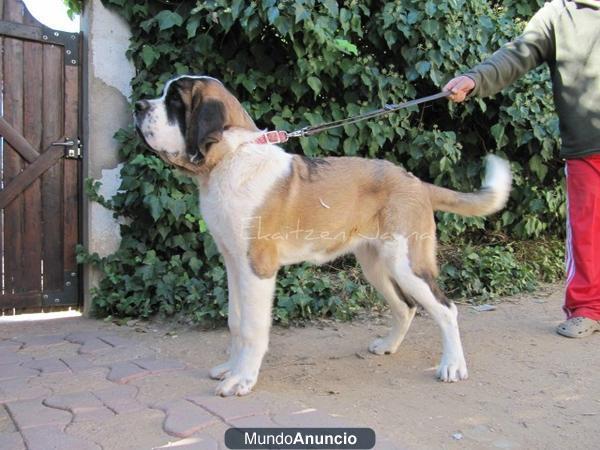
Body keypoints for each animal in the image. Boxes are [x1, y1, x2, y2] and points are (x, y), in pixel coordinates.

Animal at [135, 75, 510, 396]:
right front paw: (231, 368)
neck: (230, 158)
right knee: (405, 307)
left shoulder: (257, 267)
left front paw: (242, 379)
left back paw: (453, 366)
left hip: (406, 263)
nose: (138, 105)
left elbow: (253, 327)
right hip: (375, 265)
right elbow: (236, 321)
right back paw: (388, 346)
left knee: (446, 309)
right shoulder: (233, 263)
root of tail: (415, 181)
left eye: (175, 100)